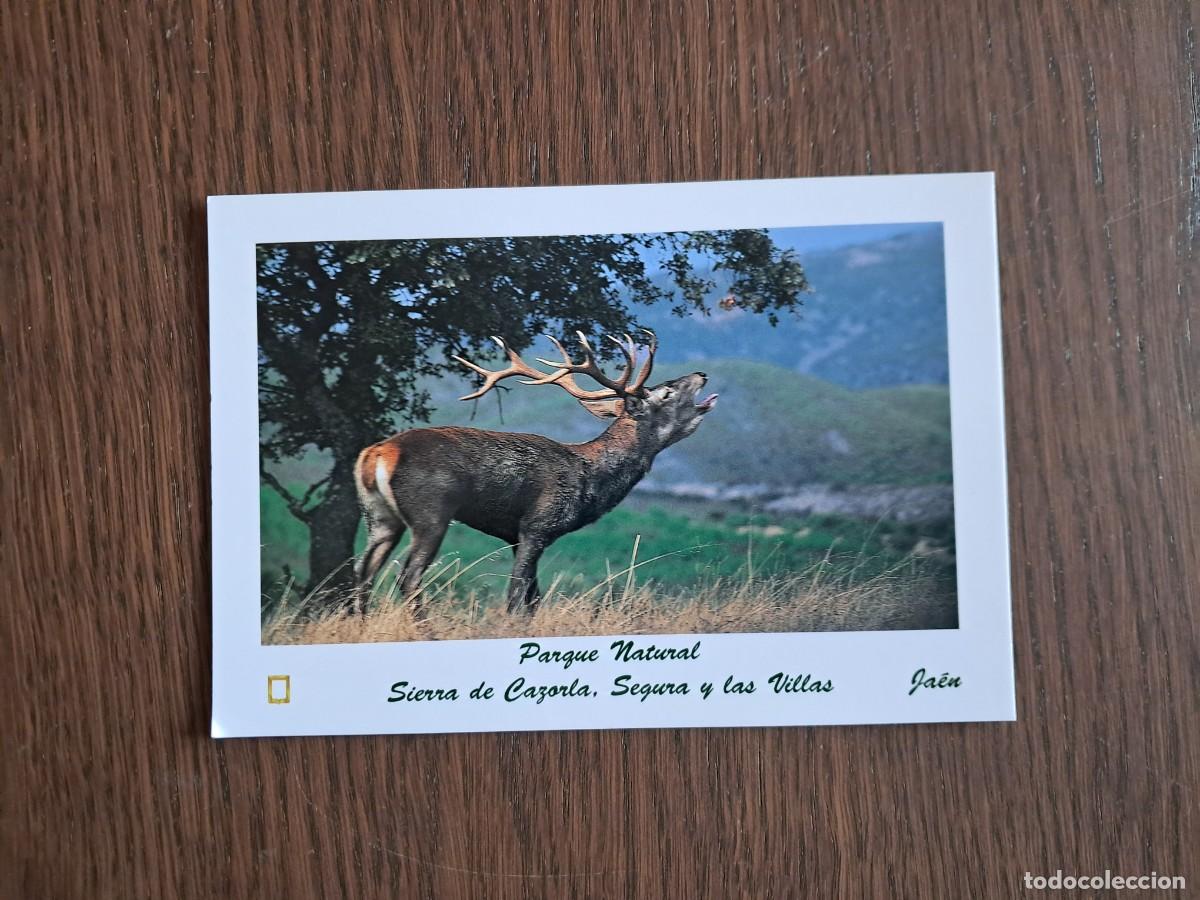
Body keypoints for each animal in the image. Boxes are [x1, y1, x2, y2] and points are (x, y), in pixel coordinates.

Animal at [352, 330, 718, 614]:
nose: (702, 374)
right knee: (408, 576)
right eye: (667, 391)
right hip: (431, 512)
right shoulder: (536, 526)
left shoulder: (516, 536)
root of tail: (377, 454)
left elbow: (534, 599)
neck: (589, 479)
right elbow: (516, 596)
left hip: (379, 516)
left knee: (363, 572)